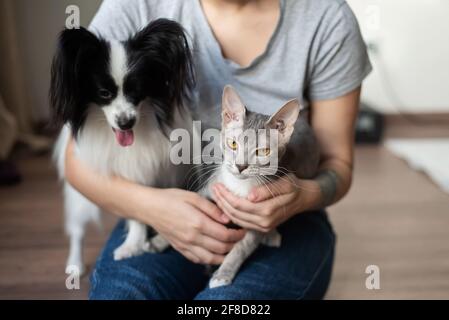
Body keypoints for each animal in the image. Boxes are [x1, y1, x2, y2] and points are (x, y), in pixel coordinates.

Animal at [50, 18, 194, 274]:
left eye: (137, 92)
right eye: (104, 93)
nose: (126, 122)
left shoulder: (158, 172)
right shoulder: (131, 178)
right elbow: (137, 212)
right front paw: (133, 245)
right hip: (79, 199)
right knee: (77, 229)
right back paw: (75, 263)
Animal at [200, 85, 318, 288]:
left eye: (263, 151)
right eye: (233, 144)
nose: (240, 166)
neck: (239, 187)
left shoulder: (257, 217)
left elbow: (242, 247)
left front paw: (223, 273)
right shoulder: (211, 187)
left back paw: (271, 235)